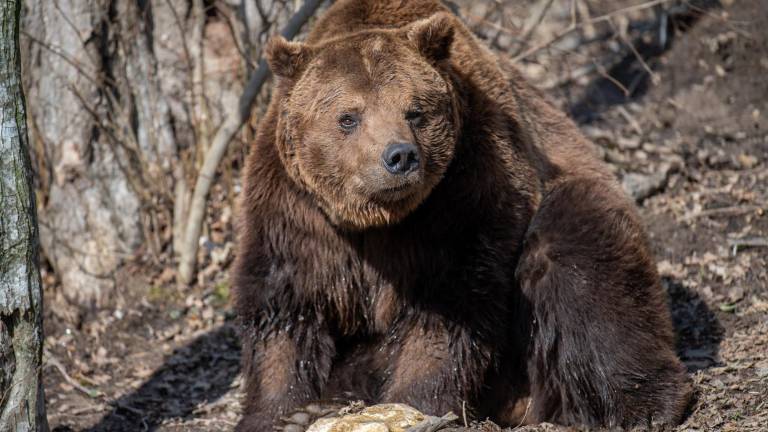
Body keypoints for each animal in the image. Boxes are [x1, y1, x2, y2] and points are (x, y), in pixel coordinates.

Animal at [232, 0, 691, 430]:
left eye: (415, 111)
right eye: (348, 117)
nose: (399, 156)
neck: (375, 220)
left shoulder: (465, 193)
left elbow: (450, 307)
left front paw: (415, 402)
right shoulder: (295, 214)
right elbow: (285, 309)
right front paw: (282, 413)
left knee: (583, 259)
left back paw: (646, 405)